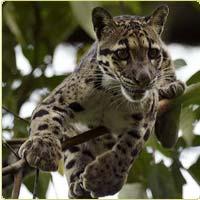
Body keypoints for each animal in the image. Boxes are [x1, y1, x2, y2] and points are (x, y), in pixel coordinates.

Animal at [18, 5, 184, 198]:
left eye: (153, 53)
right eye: (122, 53)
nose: (144, 79)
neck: (113, 95)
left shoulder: (145, 119)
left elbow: (128, 149)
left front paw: (104, 179)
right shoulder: (55, 102)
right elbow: (45, 122)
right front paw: (42, 150)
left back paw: (171, 92)